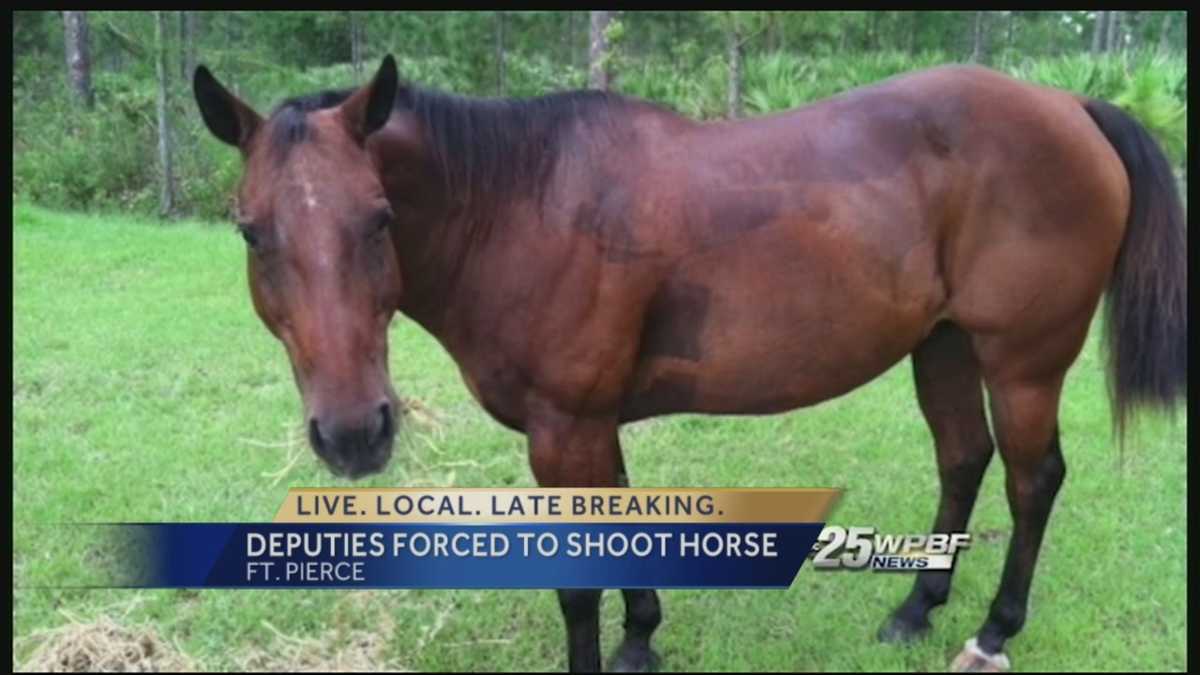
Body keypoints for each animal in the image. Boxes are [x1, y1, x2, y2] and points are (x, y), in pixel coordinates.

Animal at [193, 55, 1186, 672]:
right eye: (251, 231)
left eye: (380, 219)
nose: (354, 433)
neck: (521, 203)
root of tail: (1070, 106)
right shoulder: (590, 426)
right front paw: (641, 637)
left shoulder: (562, 430)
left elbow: (576, 585)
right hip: (940, 345)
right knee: (963, 460)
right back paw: (916, 607)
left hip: (1022, 361)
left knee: (1031, 479)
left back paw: (991, 631)